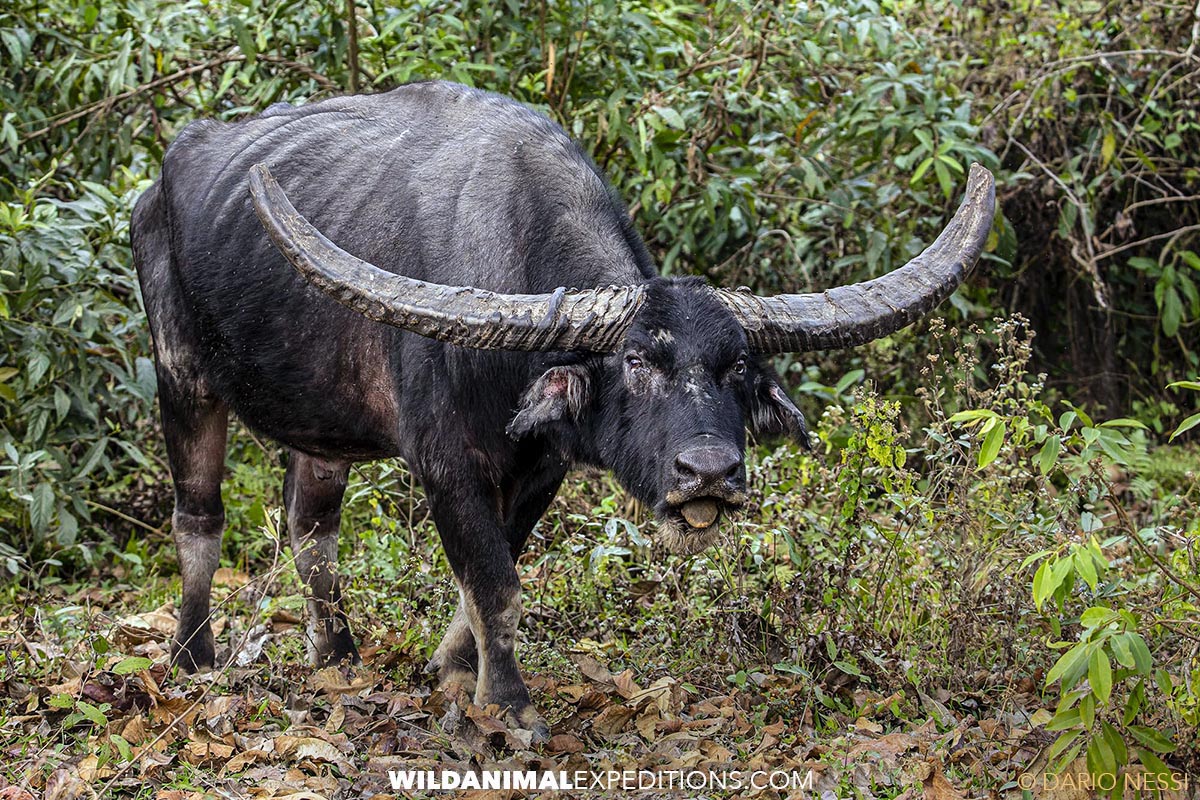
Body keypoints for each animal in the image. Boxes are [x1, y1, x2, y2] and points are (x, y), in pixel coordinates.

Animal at [131, 81, 993, 738]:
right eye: (638, 362)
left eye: (739, 368)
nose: (708, 473)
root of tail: (158, 186)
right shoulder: (446, 466)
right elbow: (493, 581)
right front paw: (509, 707)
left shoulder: (540, 468)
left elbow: (494, 575)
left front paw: (454, 673)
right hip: (182, 379)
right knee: (199, 519)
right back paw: (193, 658)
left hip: (322, 430)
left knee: (313, 530)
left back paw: (338, 656)